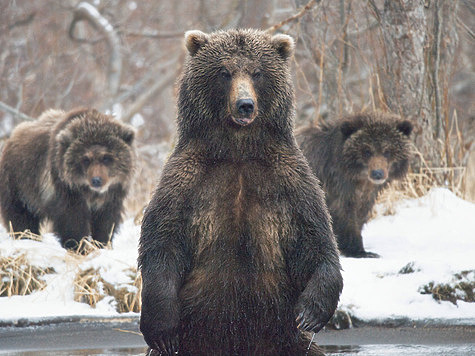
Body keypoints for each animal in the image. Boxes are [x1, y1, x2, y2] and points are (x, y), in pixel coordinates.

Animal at [0, 107, 137, 249]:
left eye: (106, 157)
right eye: (85, 159)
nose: (96, 180)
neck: (90, 193)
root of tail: (11, 138)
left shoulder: (112, 195)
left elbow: (106, 221)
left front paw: (102, 243)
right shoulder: (66, 189)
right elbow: (72, 220)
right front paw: (77, 245)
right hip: (19, 183)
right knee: (20, 215)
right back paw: (26, 236)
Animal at [139, 29, 344, 356]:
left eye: (257, 72)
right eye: (224, 72)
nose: (245, 104)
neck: (237, 149)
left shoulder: (290, 181)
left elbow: (315, 241)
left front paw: (310, 313)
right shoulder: (186, 181)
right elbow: (163, 242)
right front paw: (161, 329)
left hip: (282, 339)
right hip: (197, 336)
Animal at [298, 112, 412, 258]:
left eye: (387, 151)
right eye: (367, 150)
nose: (378, 173)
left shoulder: (365, 194)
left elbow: (360, 214)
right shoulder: (337, 187)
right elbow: (344, 215)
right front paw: (360, 250)